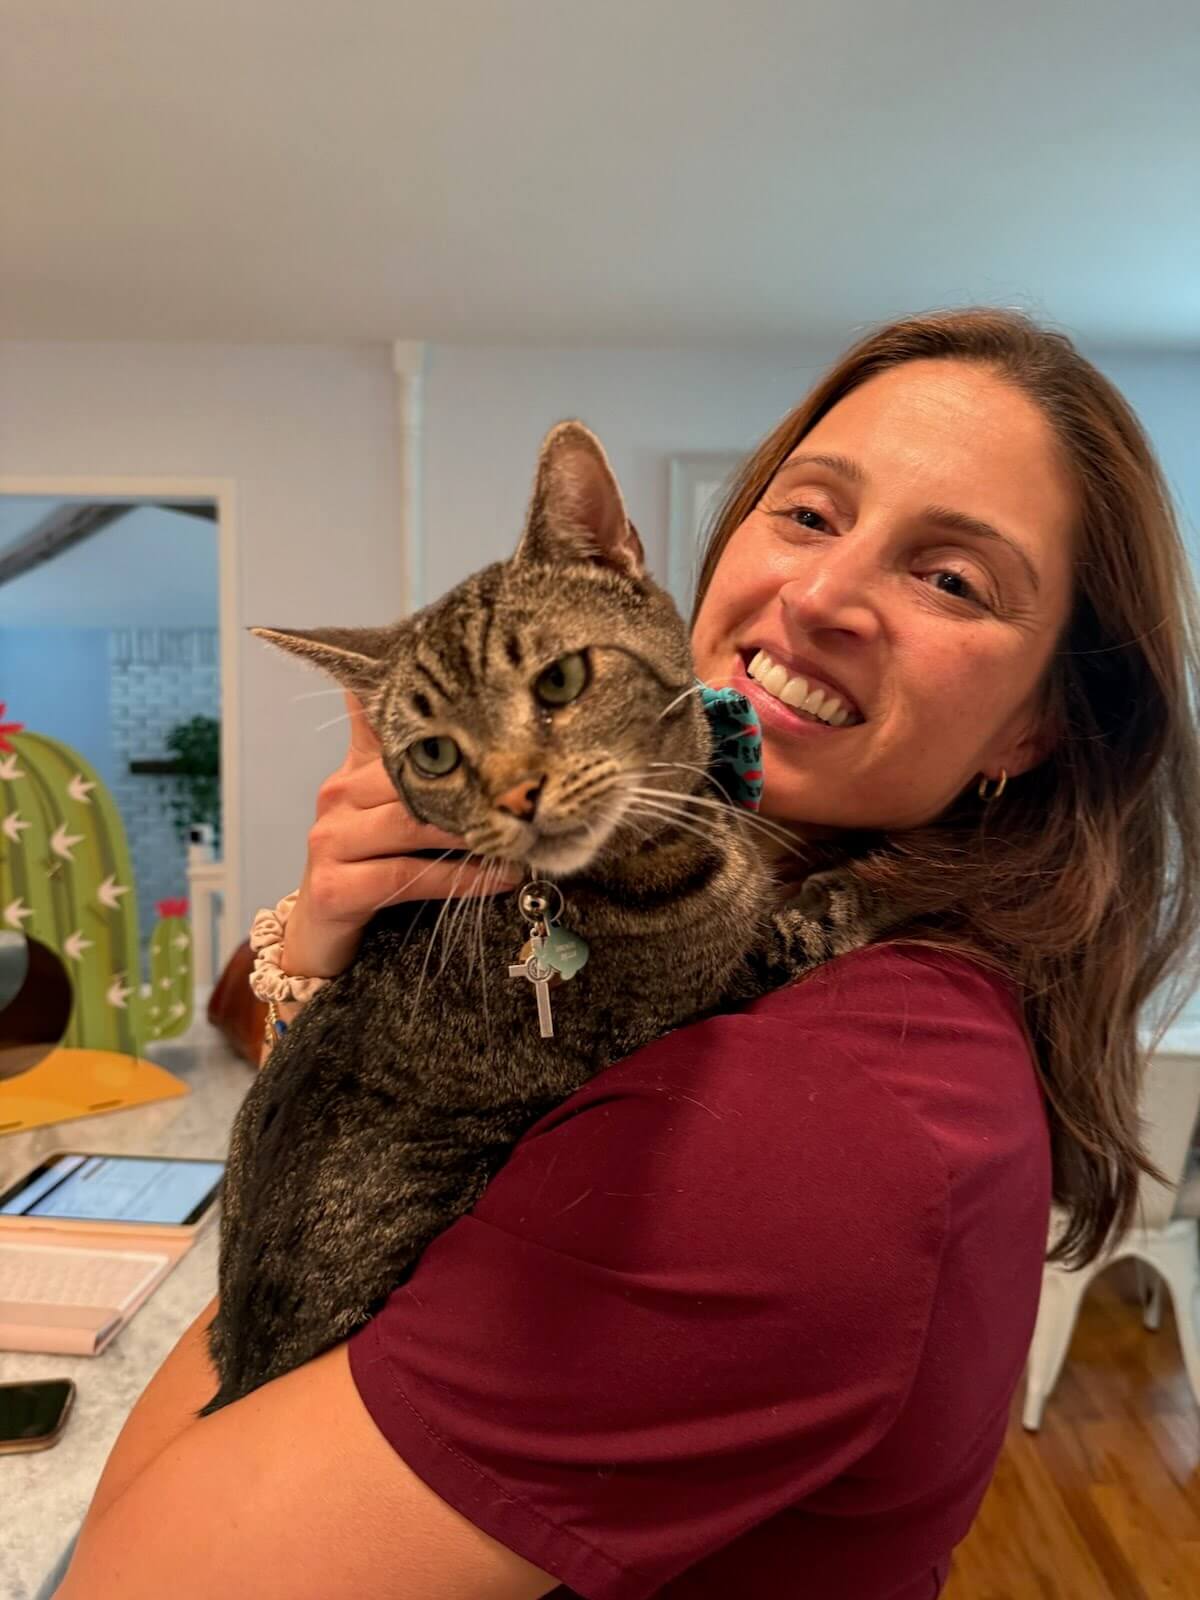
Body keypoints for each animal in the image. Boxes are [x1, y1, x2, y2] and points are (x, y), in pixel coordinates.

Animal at [200, 421, 904, 1416]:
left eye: (562, 679)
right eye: (435, 754)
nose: (516, 794)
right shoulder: (719, 975)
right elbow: (818, 916)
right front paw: (888, 879)